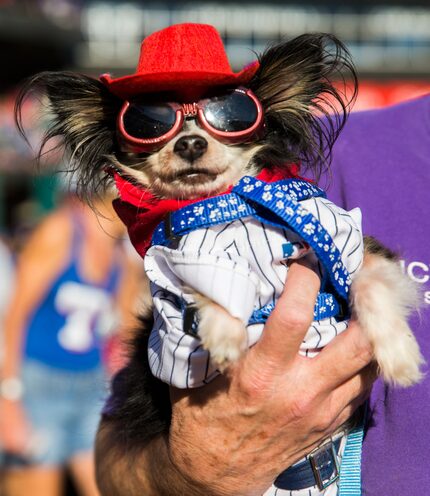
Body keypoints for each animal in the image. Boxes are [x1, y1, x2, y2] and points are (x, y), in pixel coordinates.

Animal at [15, 23, 424, 496]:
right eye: (150, 124)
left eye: (229, 117)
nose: (191, 142)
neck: (223, 205)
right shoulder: (170, 270)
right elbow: (205, 278)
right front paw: (226, 330)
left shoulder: (350, 242)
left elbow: (369, 283)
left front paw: (399, 354)